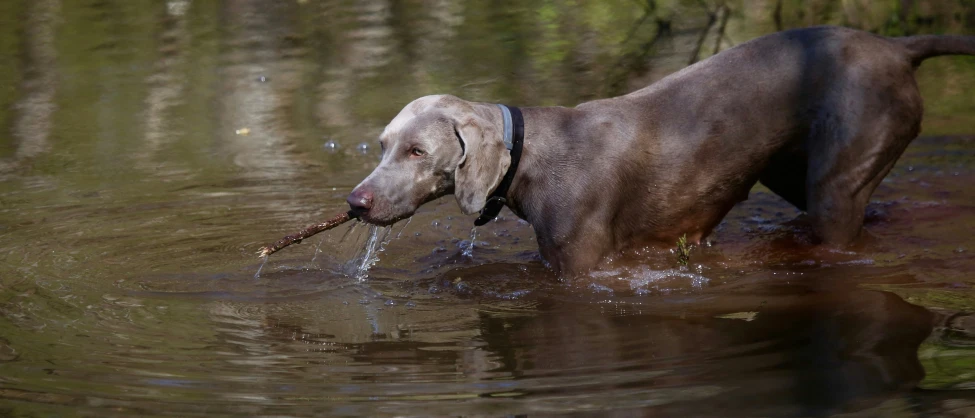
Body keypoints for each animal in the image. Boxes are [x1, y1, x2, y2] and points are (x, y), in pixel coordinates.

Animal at [346, 25, 975, 274]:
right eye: (382, 145)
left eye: (417, 151)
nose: (355, 202)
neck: (531, 157)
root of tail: (897, 46)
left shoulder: (580, 264)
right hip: (794, 173)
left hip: (838, 179)